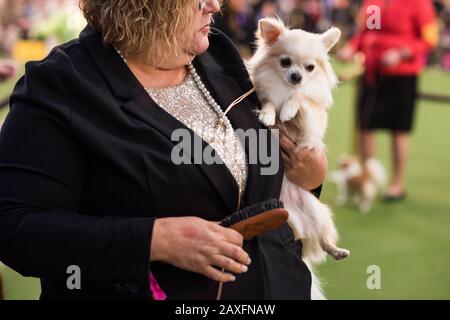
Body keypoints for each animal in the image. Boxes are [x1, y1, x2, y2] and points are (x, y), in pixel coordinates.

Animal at [246, 16, 348, 298]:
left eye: (310, 68)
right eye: (285, 62)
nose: (297, 76)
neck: (284, 87)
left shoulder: (310, 122)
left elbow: (301, 97)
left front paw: (289, 108)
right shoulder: (267, 93)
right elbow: (270, 103)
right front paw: (268, 115)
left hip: (316, 210)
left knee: (323, 239)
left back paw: (336, 250)